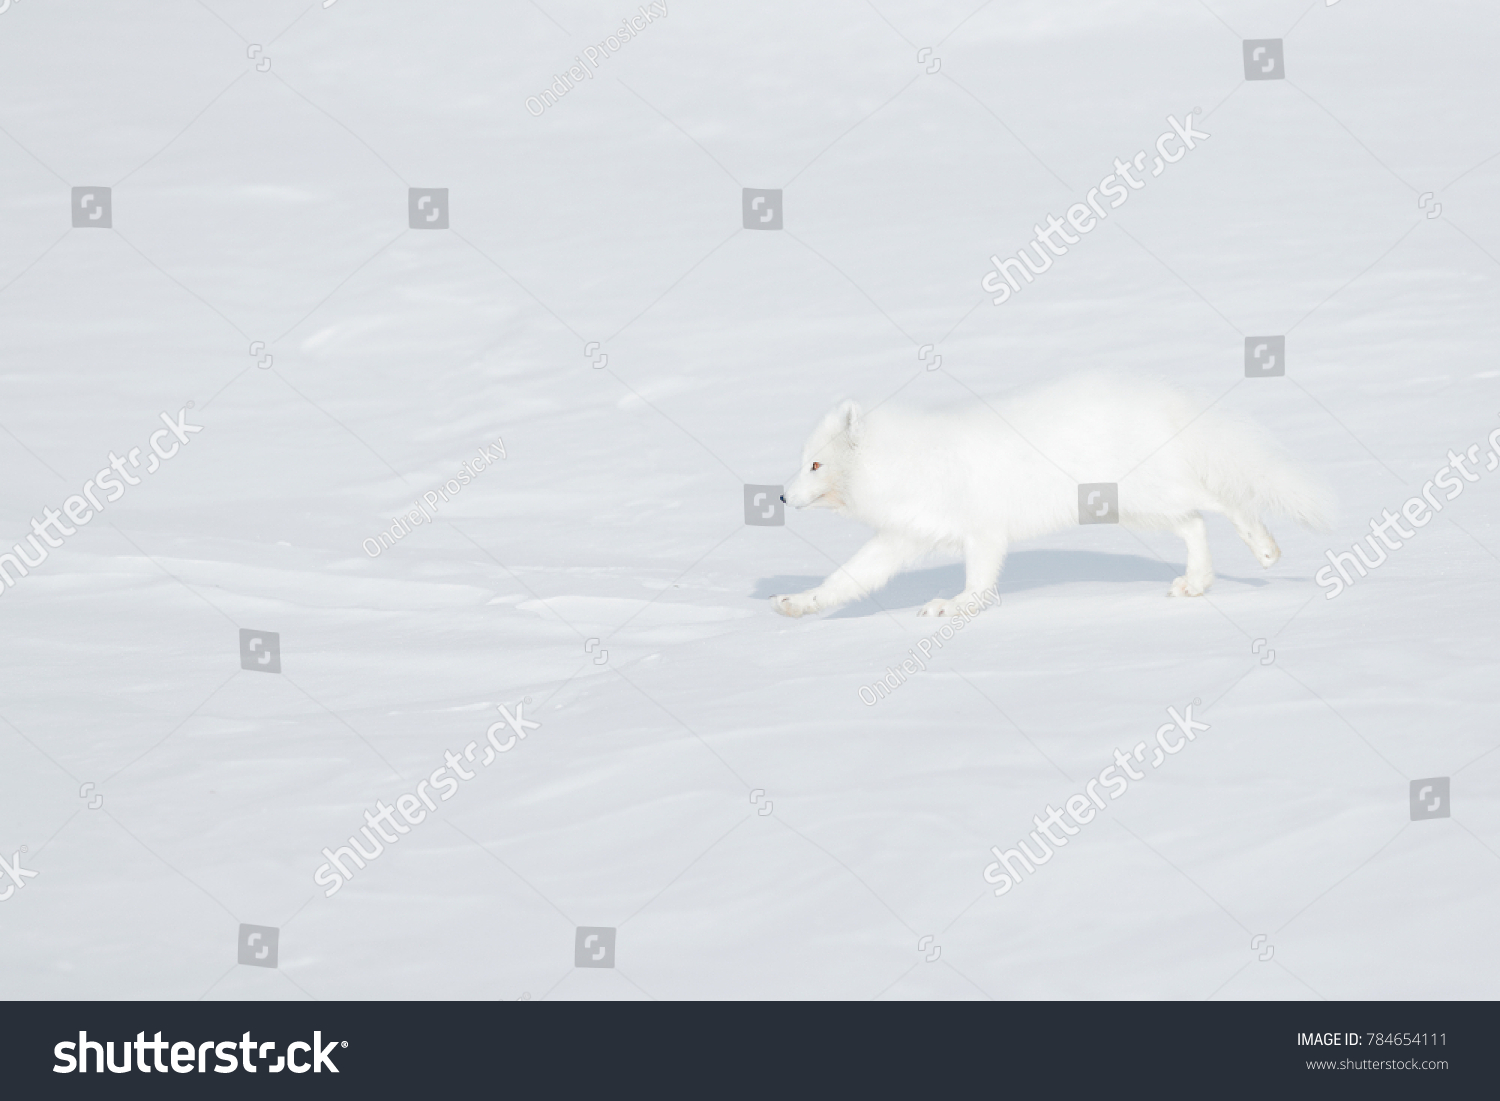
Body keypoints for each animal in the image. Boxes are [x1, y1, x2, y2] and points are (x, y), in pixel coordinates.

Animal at [769, 373, 1333, 617]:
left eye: (816, 464)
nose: (781, 498)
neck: (908, 462)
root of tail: (1158, 396)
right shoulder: (902, 535)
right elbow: (847, 579)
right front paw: (798, 603)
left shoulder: (984, 531)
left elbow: (978, 584)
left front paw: (952, 607)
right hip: (1134, 507)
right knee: (1195, 521)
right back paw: (1196, 584)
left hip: (1146, 494)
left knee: (1226, 502)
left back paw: (1264, 549)